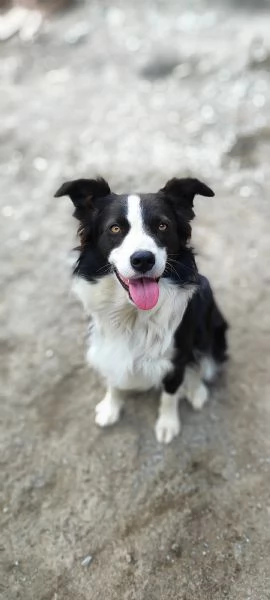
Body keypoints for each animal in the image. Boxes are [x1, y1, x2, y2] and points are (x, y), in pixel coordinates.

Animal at [55, 176, 228, 442]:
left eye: (162, 226)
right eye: (115, 228)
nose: (143, 259)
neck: (132, 314)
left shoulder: (176, 357)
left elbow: (170, 392)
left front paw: (167, 424)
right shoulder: (107, 343)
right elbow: (113, 374)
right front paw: (110, 407)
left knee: (201, 361)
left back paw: (196, 390)